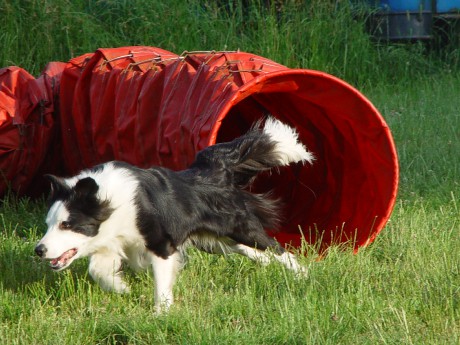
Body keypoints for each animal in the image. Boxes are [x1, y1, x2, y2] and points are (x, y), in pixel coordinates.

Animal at [35, 117, 312, 310]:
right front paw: (122, 288)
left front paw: (162, 312)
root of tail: (216, 171)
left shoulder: (161, 242)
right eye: (48, 224)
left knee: (277, 248)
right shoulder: (112, 242)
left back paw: (303, 275)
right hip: (217, 241)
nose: (38, 250)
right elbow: (98, 269)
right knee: (255, 252)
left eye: (67, 224)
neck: (109, 201)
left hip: (239, 227)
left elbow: (161, 280)